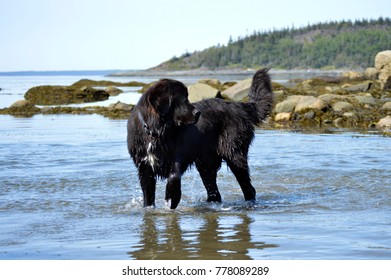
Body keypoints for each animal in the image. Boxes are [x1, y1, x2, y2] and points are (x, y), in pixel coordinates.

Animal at [127, 69, 274, 209]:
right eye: (182, 99)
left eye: (187, 97)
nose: (198, 113)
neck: (155, 132)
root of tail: (238, 106)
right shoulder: (144, 166)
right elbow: (148, 193)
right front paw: (149, 207)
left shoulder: (178, 155)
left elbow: (174, 176)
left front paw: (171, 198)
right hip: (206, 163)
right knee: (214, 189)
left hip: (234, 154)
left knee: (248, 187)